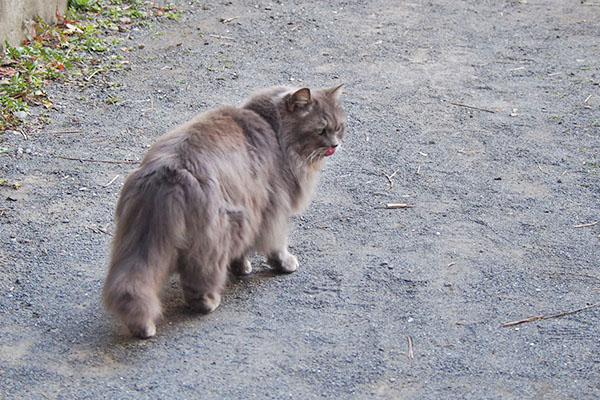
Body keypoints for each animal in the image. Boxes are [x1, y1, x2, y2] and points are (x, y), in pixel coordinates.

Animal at [103, 83, 346, 338]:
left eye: (339, 128)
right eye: (320, 130)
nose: (335, 145)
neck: (272, 128)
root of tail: (170, 173)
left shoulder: (249, 210)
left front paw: (241, 267)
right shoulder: (273, 209)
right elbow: (276, 246)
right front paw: (285, 264)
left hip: (135, 241)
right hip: (215, 236)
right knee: (199, 280)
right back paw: (207, 303)